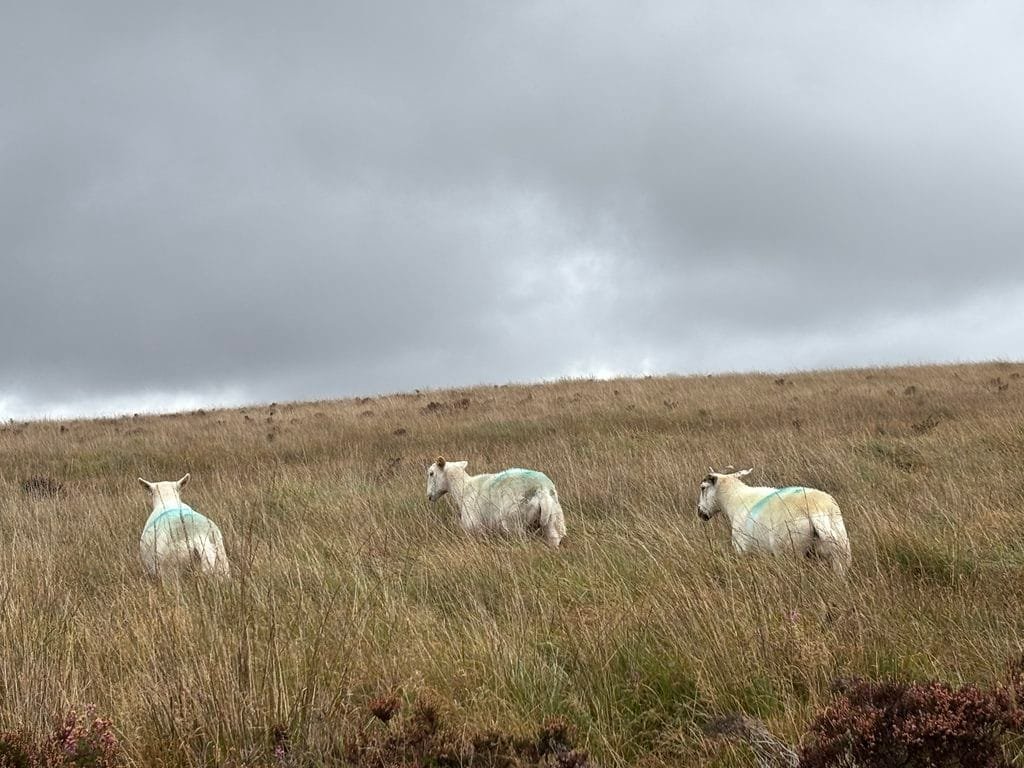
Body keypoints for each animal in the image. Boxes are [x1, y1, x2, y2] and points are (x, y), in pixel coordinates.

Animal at [426, 456, 567, 548]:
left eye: (431, 473)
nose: (429, 496)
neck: (463, 488)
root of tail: (541, 489)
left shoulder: (474, 528)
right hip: (554, 520)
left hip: (514, 522)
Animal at [696, 467, 851, 575]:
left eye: (703, 488)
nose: (700, 512)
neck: (733, 499)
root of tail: (815, 510)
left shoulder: (743, 550)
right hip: (838, 549)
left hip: (789, 552)